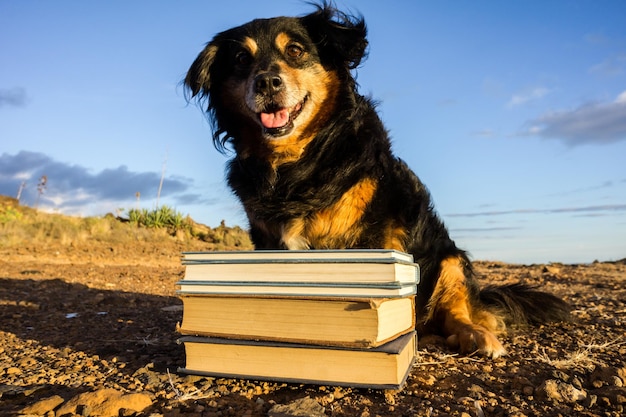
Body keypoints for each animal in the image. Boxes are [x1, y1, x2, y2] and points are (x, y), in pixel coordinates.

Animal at [183, 1, 568, 356]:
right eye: (240, 59)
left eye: (295, 50)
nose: (266, 82)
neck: (296, 163)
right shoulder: (265, 238)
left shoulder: (372, 235)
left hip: (449, 260)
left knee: (454, 313)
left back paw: (473, 334)